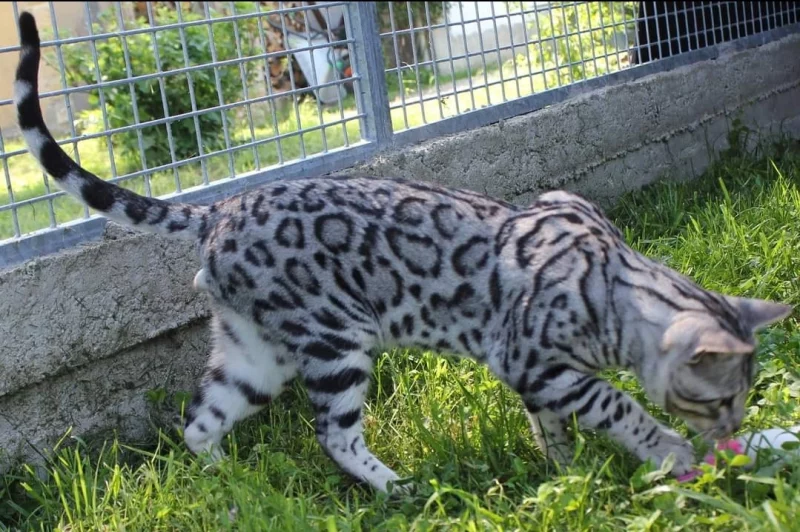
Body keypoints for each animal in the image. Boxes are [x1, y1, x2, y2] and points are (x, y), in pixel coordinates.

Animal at [14, 13, 792, 494]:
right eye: (721, 398)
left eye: (744, 397)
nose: (734, 428)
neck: (613, 285)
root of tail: (221, 207)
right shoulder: (538, 364)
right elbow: (621, 410)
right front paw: (673, 454)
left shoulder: (541, 383)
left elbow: (555, 435)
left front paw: (569, 474)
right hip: (335, 342)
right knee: (333, 437)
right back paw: (399, 489)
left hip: (254, 358)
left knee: (198, 424)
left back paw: (226, 489)